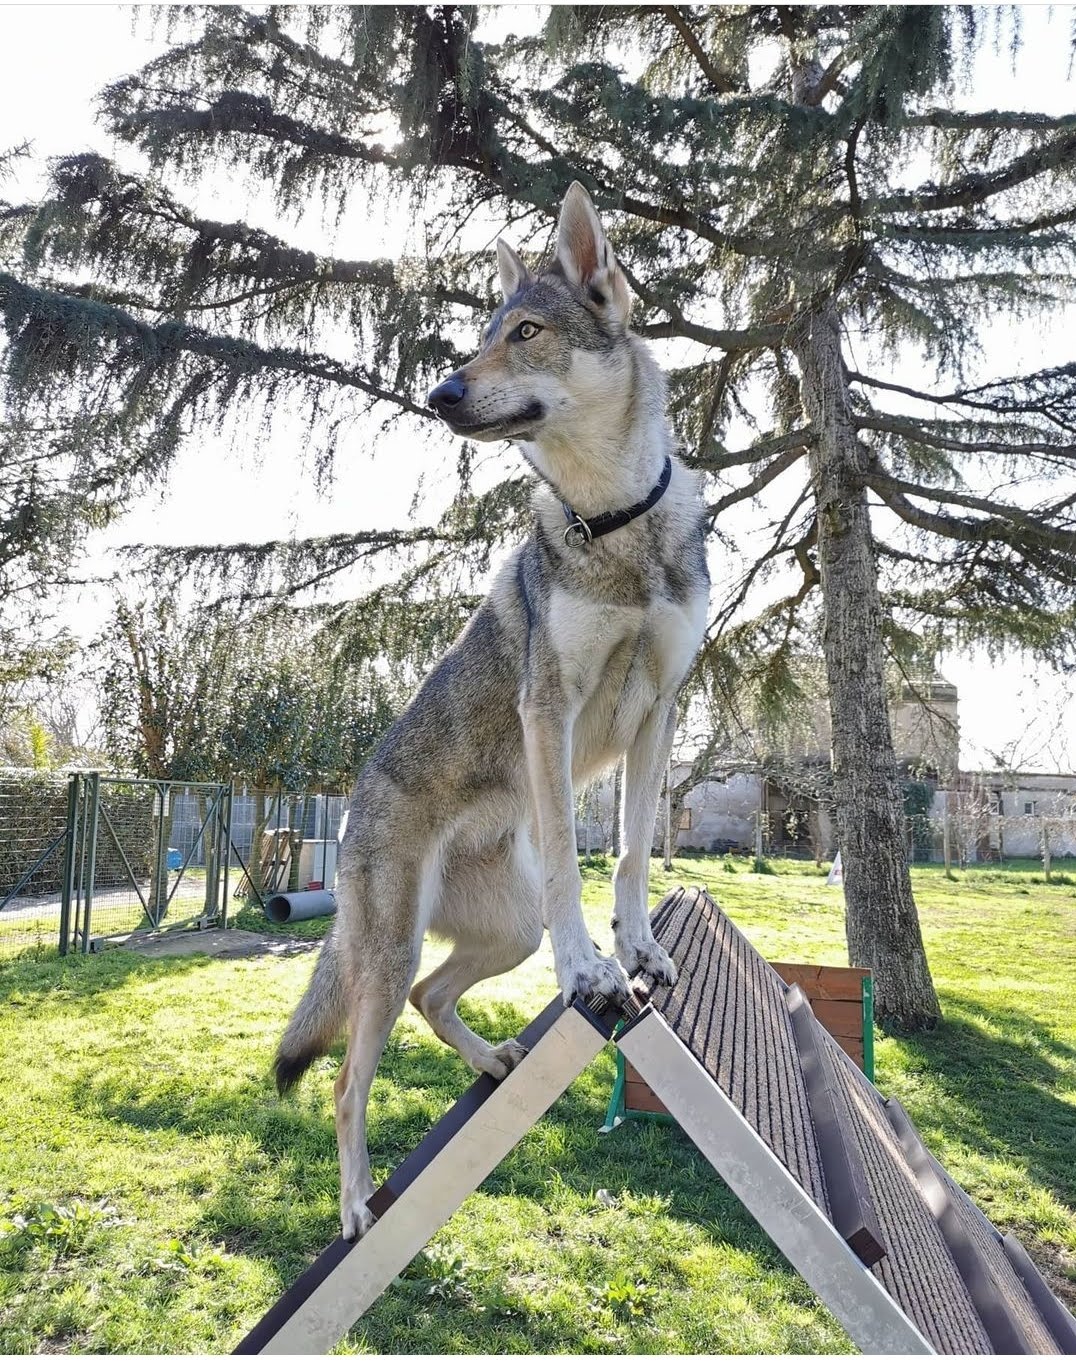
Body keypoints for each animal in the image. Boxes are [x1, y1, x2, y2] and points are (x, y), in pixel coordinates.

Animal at [274, 182, 710, 1241]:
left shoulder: (660, 715)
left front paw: (637, 951)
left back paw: (496, 1061)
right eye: (480, 339)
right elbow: (570, 866)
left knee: (435, 997)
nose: (440, 394)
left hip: (494, 939)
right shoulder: (548, 713)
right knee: (347, 1082)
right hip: (386, 954)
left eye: (526, 332)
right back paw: (358, 1205)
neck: (615, 524)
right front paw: (591, 971)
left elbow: (630, 855)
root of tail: (349, 803)